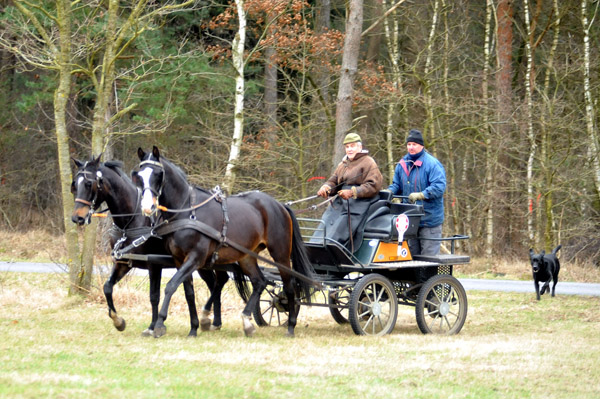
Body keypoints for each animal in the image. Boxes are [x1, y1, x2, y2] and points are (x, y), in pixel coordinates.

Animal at [68, 156, 232, 338]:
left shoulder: (154, 264)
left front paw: (153, 326)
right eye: (74, 184)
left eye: (89, 183)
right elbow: (107, 287)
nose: (77, 218)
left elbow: (154, 296)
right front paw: (119, 321)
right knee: (216, 282)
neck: (132, 220)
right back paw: (215, 321)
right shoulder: (123, 263)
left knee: (218, 282)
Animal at [134, 145, 316, 340]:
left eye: (158, 174)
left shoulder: (195, 258)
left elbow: (170, 286)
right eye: (139, 175)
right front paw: (194, 327)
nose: (147, 207)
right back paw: (247, 322)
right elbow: (188, 292)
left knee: (289, 286)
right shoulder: (179, 259)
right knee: (260, 282)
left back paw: (291, 325)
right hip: (246, 256)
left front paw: (160, 324)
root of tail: (280, 205)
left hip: (280, 253)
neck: (188, 212)